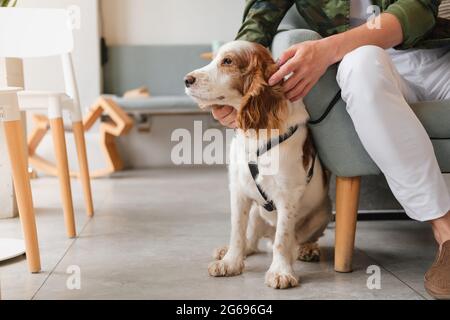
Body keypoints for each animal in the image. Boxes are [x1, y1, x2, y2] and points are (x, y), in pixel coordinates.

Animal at [184, 40, 330, 290]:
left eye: (228, 61)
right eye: (214, 58)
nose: (187, 79)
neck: (257, 135)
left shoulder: (287, 195)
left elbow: (283, 238)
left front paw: (280, 272)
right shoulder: (239, 190)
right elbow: (237, 231)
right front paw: (230, 262)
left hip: (322, 215)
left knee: (298, 238)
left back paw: (307, 249)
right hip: (256, 213)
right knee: (251, 240)